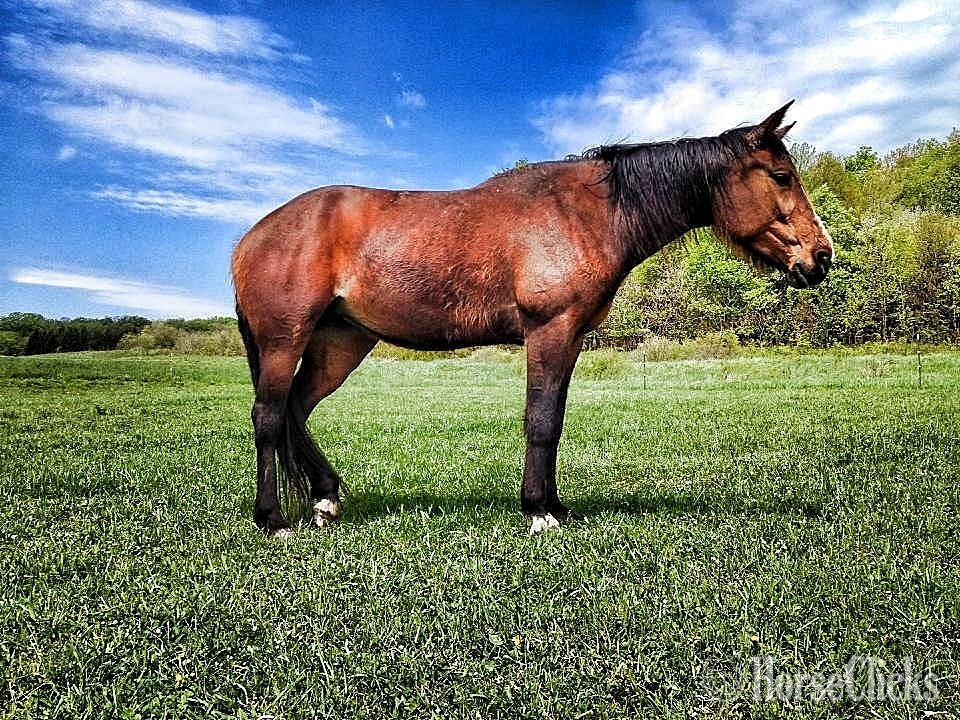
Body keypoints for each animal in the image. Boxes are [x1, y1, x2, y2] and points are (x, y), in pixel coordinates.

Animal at [231, 101, 833, 537]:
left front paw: (554, 505)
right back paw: (274, 519)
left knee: (295, 410)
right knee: (269, 417)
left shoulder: (570, 339)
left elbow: (555, 420)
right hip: (285, 340)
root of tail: (251, 238)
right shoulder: (549, 331)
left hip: (341, 343)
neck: (589, 212)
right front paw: (538, 511)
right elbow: (540, 420)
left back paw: (324, 499)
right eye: (781, 175)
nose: (821, 257)